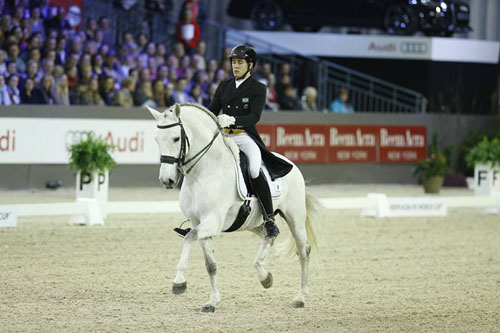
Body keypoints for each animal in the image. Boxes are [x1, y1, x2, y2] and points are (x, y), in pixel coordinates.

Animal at [147, 103, 320, 312]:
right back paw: (265, 277)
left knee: (303, 251)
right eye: (157, 139)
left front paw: (179, 282)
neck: (204, 172)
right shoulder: (199, 223)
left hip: (295, 218)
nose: (167, 180)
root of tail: (291, 164)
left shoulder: (212, 221)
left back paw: (300, 297)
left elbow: (188, 238)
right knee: (269, 235)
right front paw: (212, 302)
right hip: (253, 222)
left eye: (176, 138)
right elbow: (210, 265)